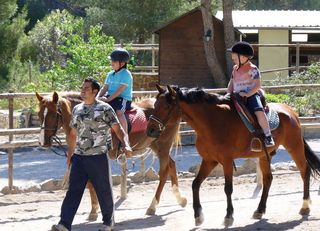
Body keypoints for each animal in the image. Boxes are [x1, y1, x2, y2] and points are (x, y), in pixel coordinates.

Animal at [35, 91, 188, 219]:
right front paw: (95, 210)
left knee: (164, 172)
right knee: (172, 164)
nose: (43, 142)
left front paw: (94, 211)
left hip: (163, 145)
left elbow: (94, 183)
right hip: (155, 145)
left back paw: (152, 207)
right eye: (39, 114)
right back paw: (180, 199)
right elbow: (90, 183)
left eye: (54, 114)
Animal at [147, 85, 320, 227]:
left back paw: (305, 206)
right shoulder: (209, 160)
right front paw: (198, 215)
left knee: (304, 171)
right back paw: (259, 210)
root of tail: (291, 112)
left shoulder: (227, 161)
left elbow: (228, 189)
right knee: (268, 179)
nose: (150, 130)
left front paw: (228, 216)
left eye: (166, 106)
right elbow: (195, 184)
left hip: (294, 146)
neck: (211, 123)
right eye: (154, 105)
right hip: (265, 156)